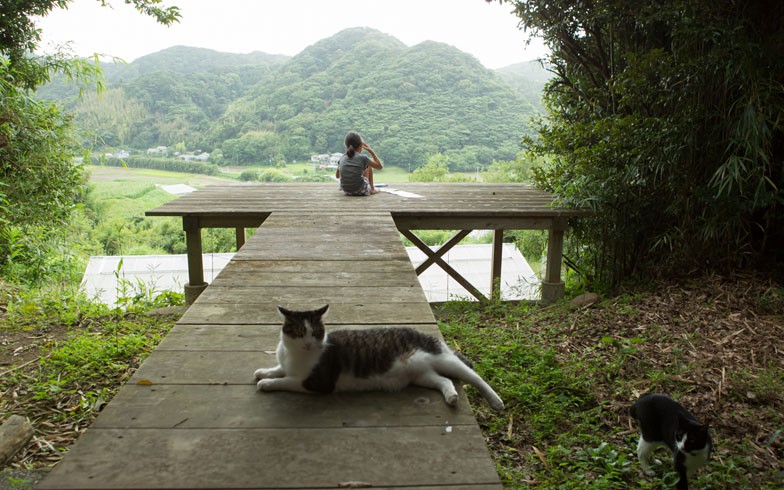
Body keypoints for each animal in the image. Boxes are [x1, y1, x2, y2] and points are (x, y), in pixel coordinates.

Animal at [254, 304, 506, 412]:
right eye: (298, 332)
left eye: (315, 332)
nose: (307, 343)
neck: (294, 354)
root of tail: (427, 334)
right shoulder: (288, 365)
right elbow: (279, 368)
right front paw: (264, 371)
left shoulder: (318, 382)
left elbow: (286, 380)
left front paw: (267, 382)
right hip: (422, 375)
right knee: (444, 381)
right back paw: (452, 397)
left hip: (446, 360)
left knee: (476, 378)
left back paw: (495, 401)